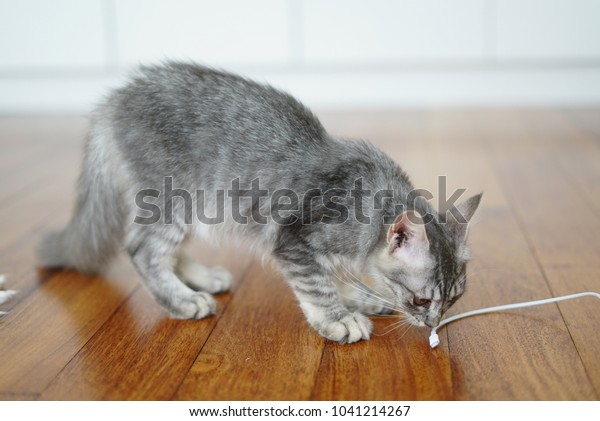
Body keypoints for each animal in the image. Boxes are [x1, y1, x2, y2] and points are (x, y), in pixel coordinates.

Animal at [37, 63, 480, 344]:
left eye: (453, 299)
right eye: (420, 300)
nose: (432, 324)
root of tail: (113, 101)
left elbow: (336, 277)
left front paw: (359, 296)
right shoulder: (296, 242)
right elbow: (318, 285)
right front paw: (338, 318)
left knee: (168, 251)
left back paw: (201, 279)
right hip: (171, 197)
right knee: (143, 250)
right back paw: (182, 299)